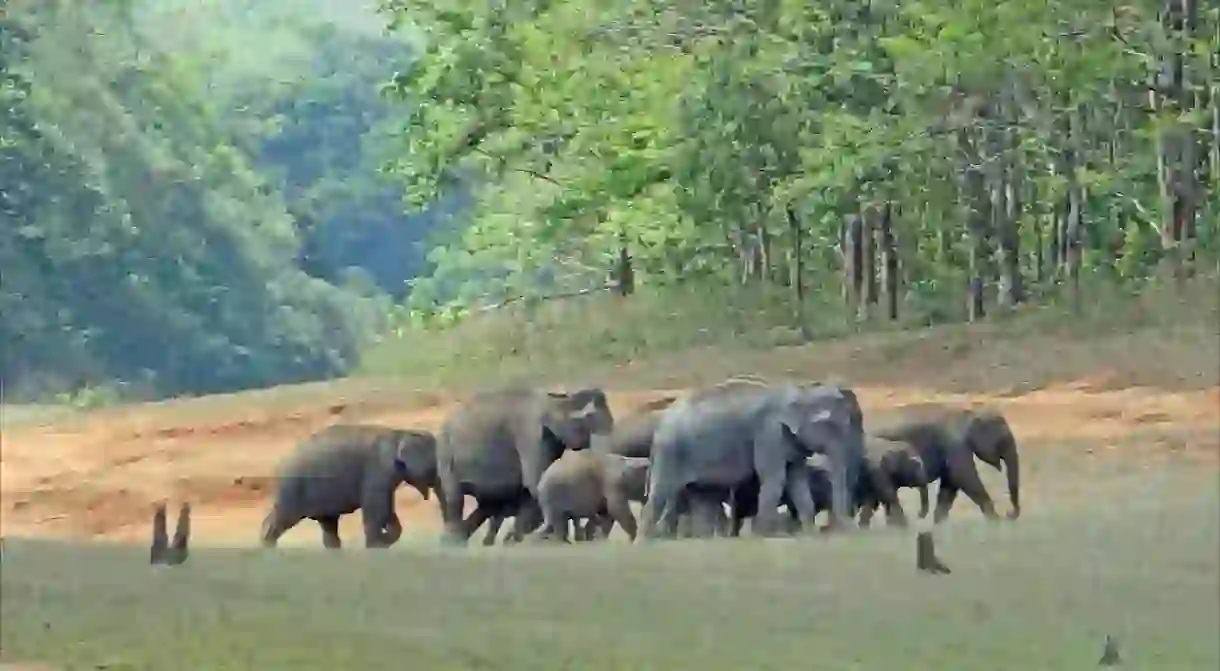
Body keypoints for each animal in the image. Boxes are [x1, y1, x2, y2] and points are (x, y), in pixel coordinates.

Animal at [259, 427, 441, 551]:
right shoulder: (377, 470)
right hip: (293, 487)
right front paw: (376, 546)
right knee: (284, 517)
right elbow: (376, 508)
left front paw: (383, 541)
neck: (401, 433)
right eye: (434, 467)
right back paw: (268, 548)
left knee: (328, 524)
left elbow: (386, 508)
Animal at [434, 390, 614, 546]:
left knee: (488, 505)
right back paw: (453, 543)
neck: (557, 400)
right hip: (445, 452)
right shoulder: (530, 436)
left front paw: (515, 539)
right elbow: (535, 483)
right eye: (589, 424)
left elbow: (534, 489)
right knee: (455, 498)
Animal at [639, 378, 868, 541]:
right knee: (660, 495)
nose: (848, 532)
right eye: (834, 427)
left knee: (703, 497)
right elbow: (776, 480)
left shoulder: (789, 441)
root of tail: (660, 425)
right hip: (671, 452)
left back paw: (704, 540)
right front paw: (765, 536)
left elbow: (798, 483)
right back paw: (645, 543)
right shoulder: (769, 434)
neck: (801, 390)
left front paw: (809, 534)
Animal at [878, 405, 1019, 527]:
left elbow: (950, 482)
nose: (1009, 514)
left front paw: (939, 526)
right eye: (1003, 441)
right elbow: (963, 475)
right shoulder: (955, 443)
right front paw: (996, 522)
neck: (970, 414)